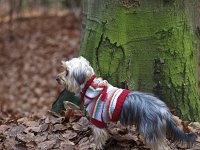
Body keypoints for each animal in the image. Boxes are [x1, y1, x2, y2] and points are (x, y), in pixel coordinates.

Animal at [56, 56, 197, 150]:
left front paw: (95, 146)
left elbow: (98, 137)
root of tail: (164, 111)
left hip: (149, 131)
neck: (91, 86)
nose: (57, 78)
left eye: (67, 72)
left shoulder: (97, 120)